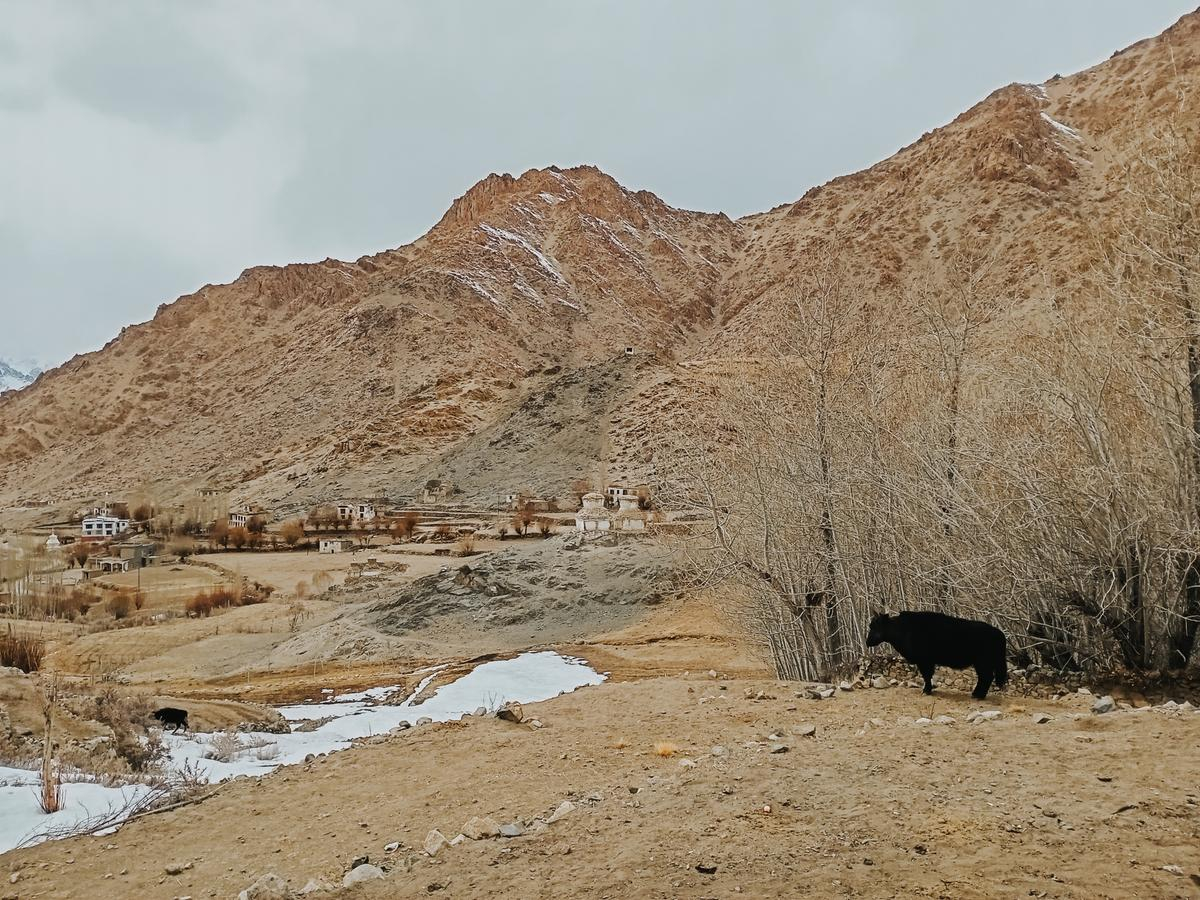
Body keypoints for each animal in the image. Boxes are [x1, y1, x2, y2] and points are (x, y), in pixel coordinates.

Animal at [868, 619, 1008, 700]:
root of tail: (999, 634)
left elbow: (926, 675)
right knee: (984, 678)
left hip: (983, 663)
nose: (867, 641)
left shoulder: (924, 661)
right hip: (981, 664)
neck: (904, 628)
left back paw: (978, 696)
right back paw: (976, 695)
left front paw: (926, 691)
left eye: (874, 627)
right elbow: (928, 676)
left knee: (986, 677)